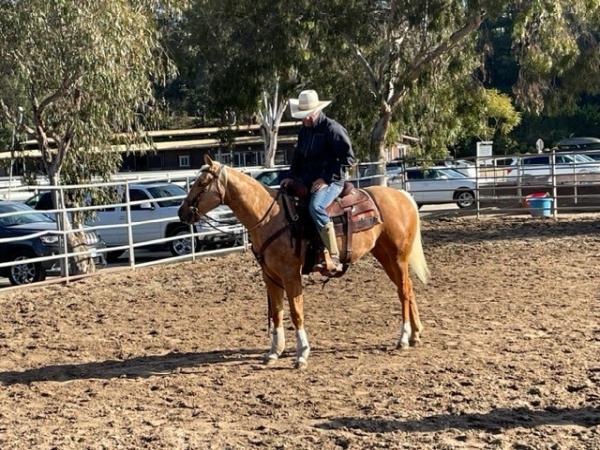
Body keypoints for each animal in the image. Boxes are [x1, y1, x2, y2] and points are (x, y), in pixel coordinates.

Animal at [177, 155, 426, 370]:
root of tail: (401, 196)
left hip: (397, 256)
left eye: (202, 182)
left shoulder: (290, 274)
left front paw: (302, 354)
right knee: (407, 288)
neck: (270, 216)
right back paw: (415, 334)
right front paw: (274, 352)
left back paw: (403, 338)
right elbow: (277, 312)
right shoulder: (270, 276)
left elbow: (296, 312)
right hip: (384, 255)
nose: (182, 213)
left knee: (403, 291)